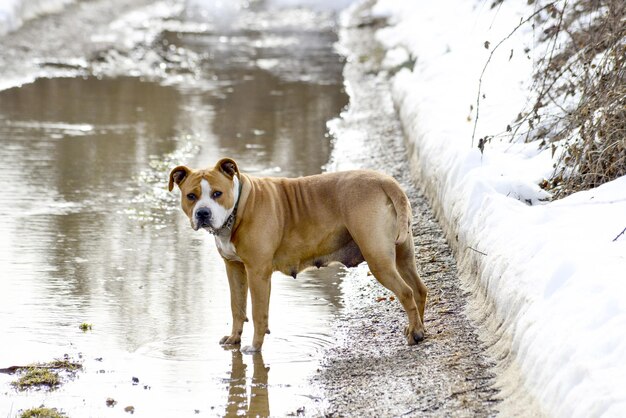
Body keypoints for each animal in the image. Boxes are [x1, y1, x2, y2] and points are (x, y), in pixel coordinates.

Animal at [168, 158, 426, 352]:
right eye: (191, 196)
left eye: (217, 193)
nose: (203, 213)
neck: (238, 207)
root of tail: (386, 182)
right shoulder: (234, 268)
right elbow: (237, 307)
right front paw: (234, 338)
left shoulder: (257, 273)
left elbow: (258, 312)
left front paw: (255, 347)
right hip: (403, 256)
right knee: (419, 289)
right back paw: (419, 328)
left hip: (378, 259)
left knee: (406, 292)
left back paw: (415, 333)